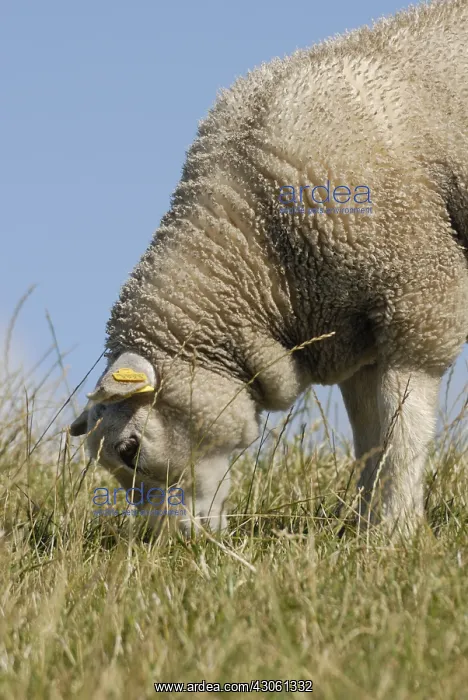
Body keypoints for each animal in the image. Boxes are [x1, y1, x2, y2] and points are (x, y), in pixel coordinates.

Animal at [71, 0, 468, 537]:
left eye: (130, 449)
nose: (161, 542)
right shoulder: (353, 336)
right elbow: (371, 440)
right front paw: (363, 529)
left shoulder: (416, 298)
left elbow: (402, 432)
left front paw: (396, 530)